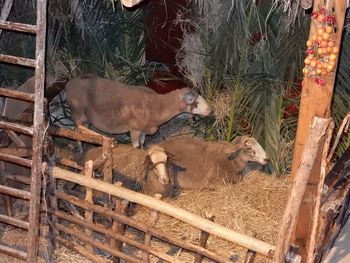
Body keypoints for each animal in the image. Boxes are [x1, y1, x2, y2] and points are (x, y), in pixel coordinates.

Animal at [65, 74, 211, 148]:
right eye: (192, 99)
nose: (210, 109)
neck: (156, 105)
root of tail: (70, 83)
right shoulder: (134, 129)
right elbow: (135, 146)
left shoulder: (143, 131)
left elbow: (142, 144)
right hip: (77, 116)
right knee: (76, 134)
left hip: (86, 120)